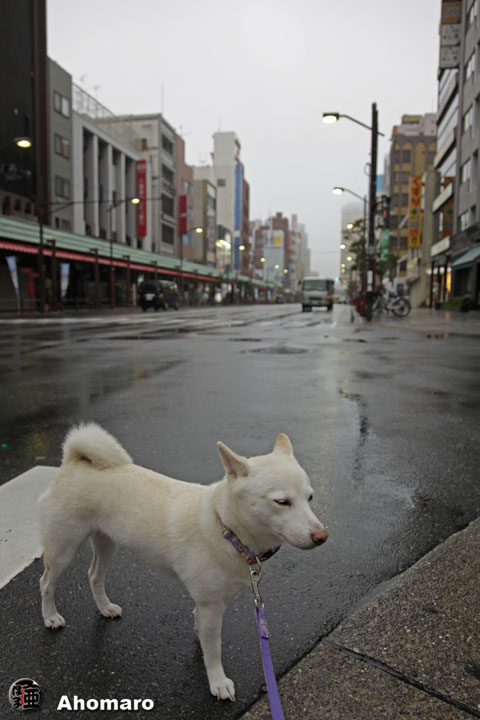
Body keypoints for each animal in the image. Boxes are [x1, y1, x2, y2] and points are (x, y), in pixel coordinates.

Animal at [39, 424, 328, 700]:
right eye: (282, 502)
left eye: (310, 497)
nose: (322, 536)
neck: (226, 527)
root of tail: (75, 461)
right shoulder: (211, 607)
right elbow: (213, 651)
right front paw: (218, 682)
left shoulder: (207, 603)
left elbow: (200, 628)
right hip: (64, 549)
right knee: (46, 583)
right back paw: (51, 616)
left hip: (106, 543)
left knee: (94, 575)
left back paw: (105, 607)